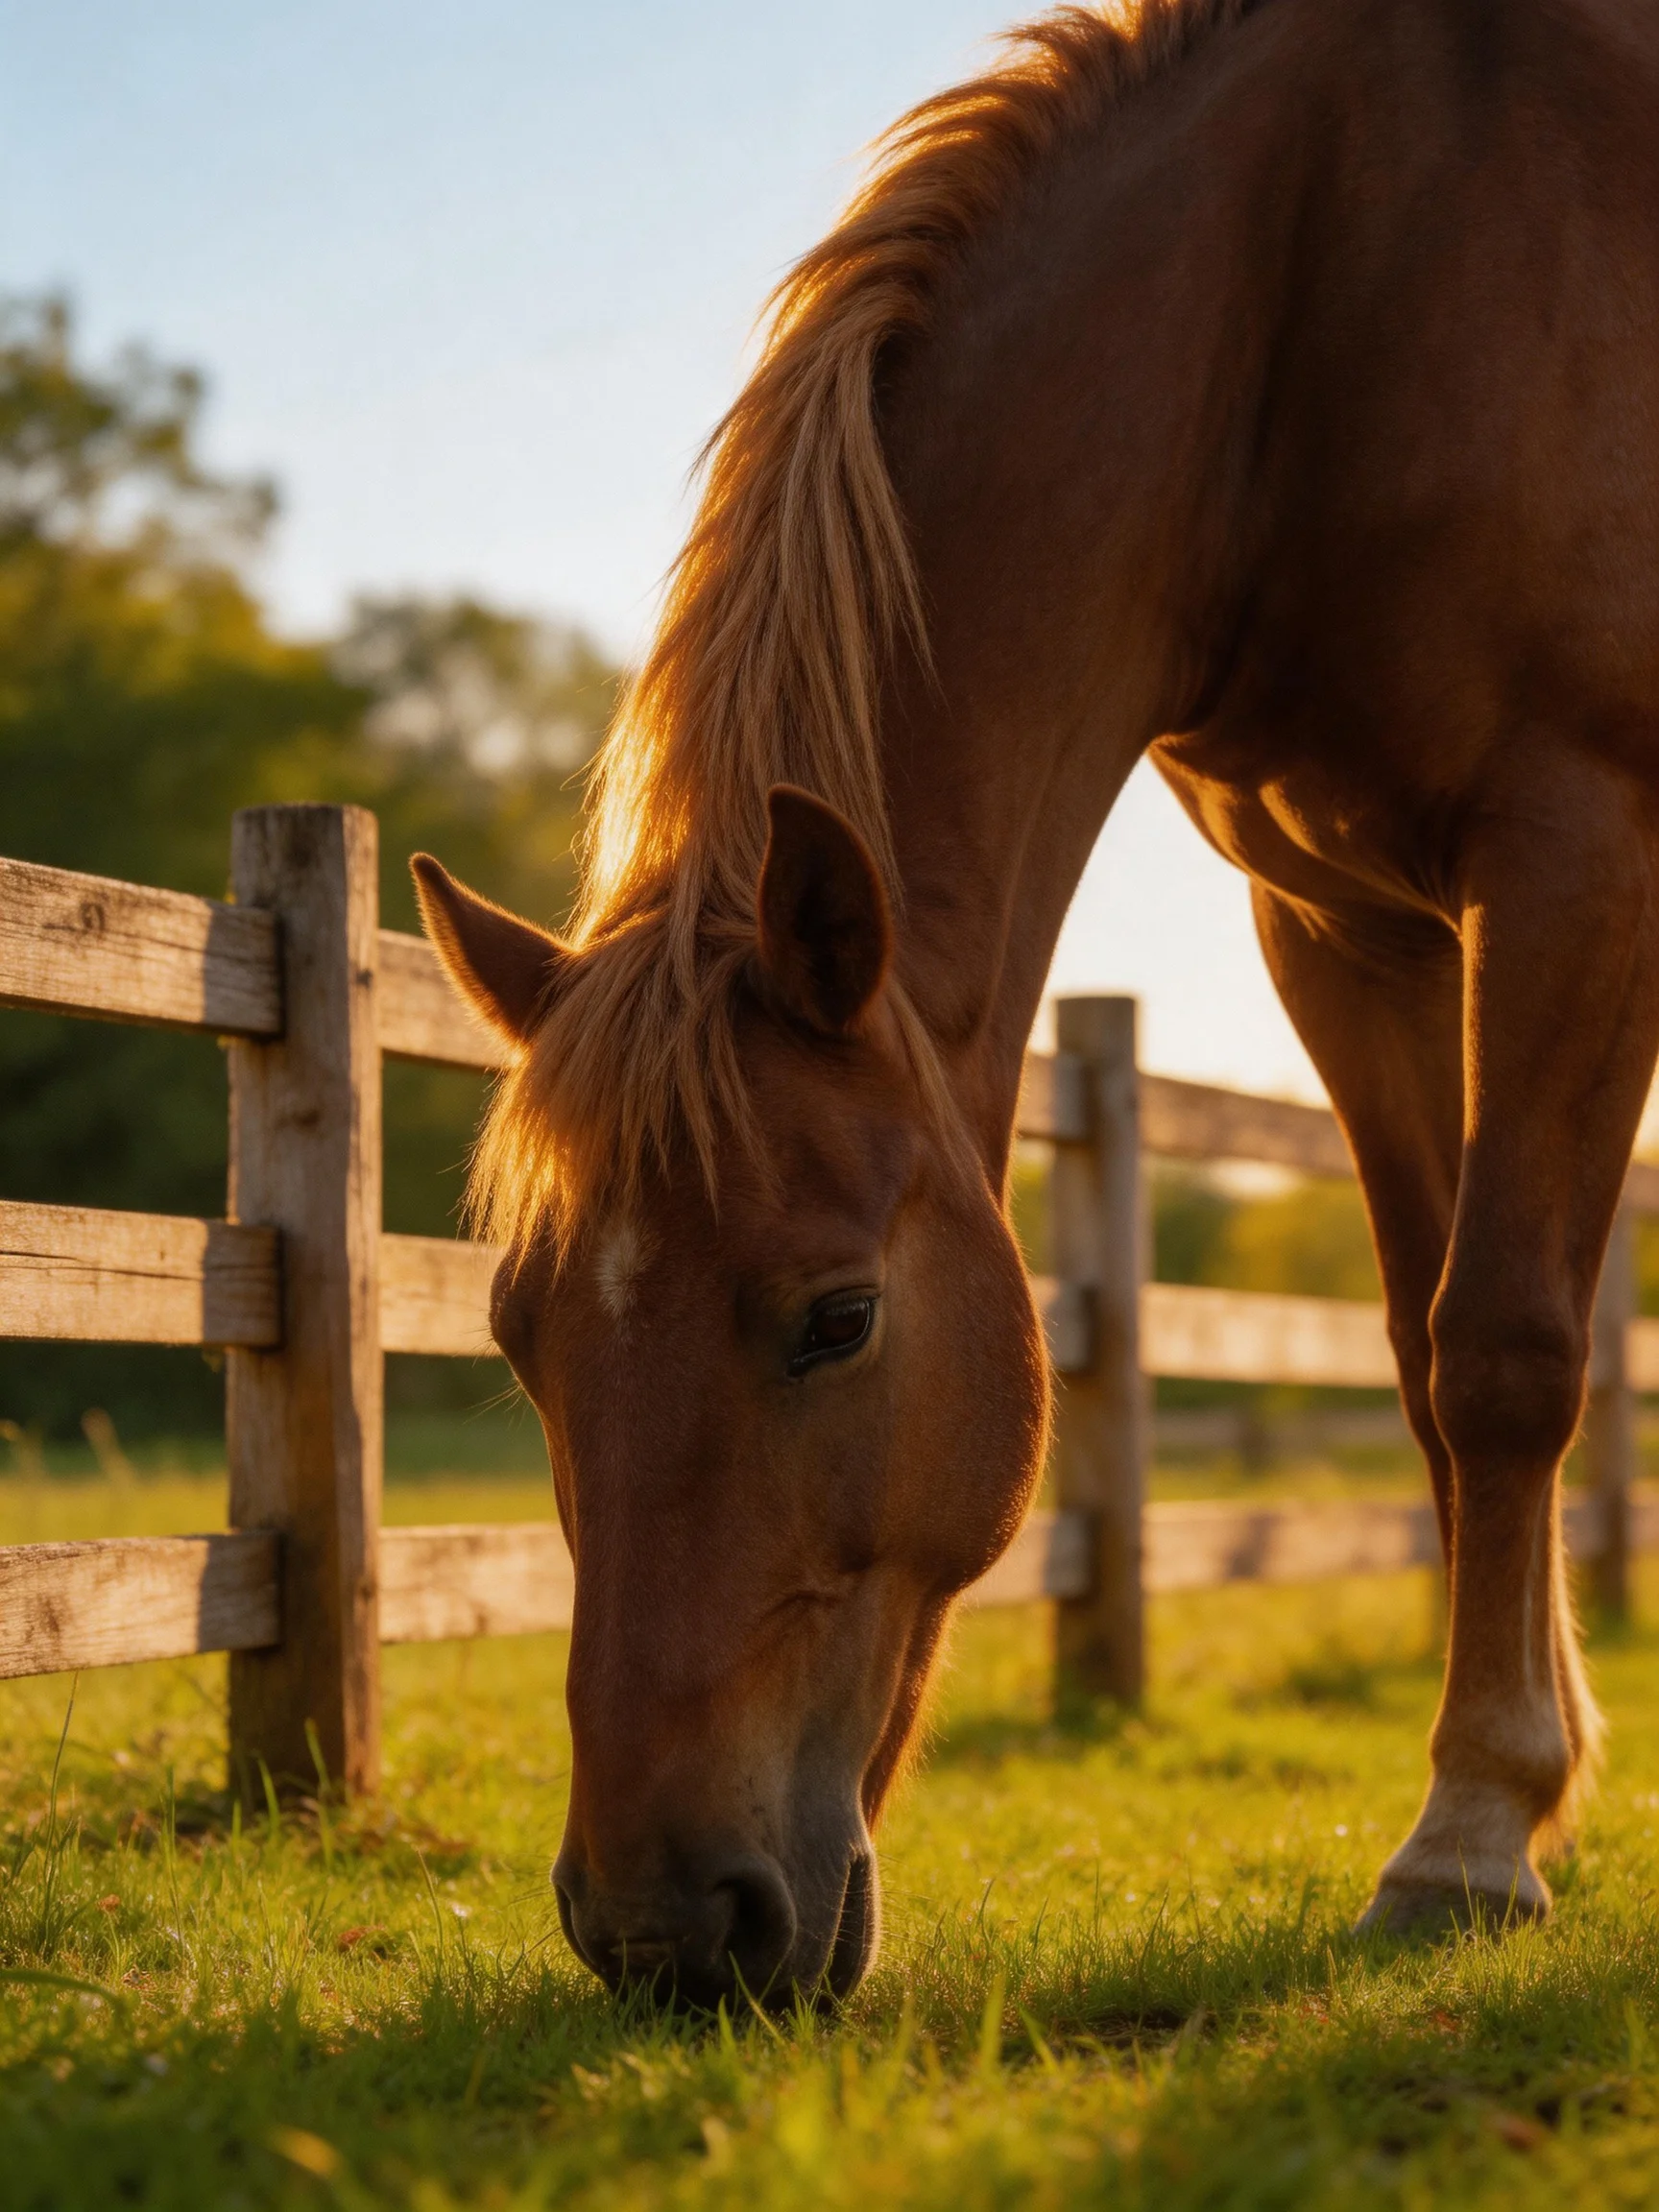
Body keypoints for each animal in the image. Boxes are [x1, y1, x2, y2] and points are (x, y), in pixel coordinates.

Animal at [412, 0, 1659, 2005]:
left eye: (836, 1318)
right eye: (518, 1337)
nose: (666, 1928)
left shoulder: (1574, 854)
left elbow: (1506, 1351)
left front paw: (1469, 1830)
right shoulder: (1338, 923)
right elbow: (1418, 1358)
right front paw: (1522, 1796)